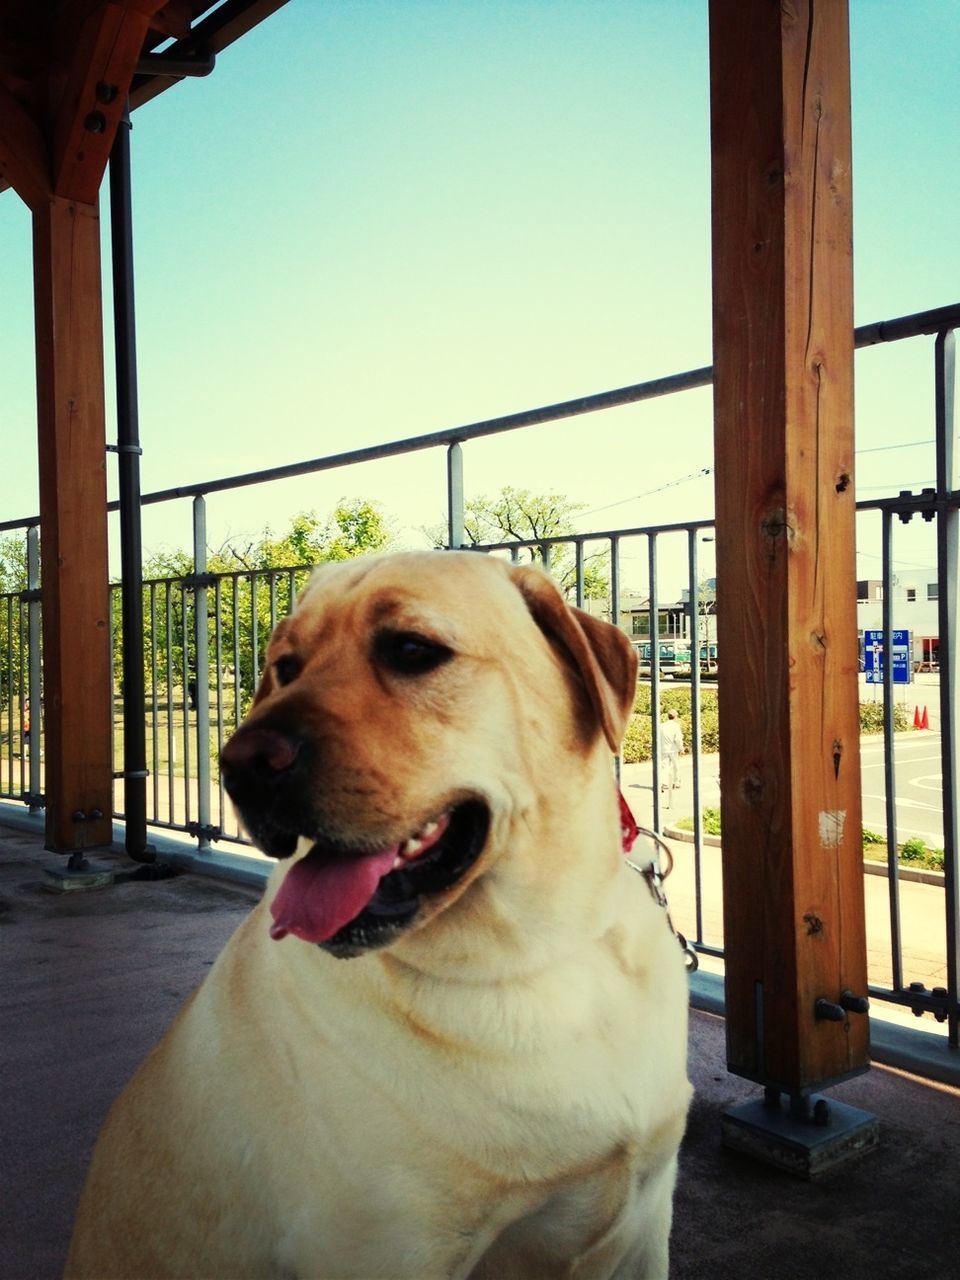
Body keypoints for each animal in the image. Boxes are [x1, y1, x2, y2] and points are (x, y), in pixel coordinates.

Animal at [65, 552, 691, 1280]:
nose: (238, 765)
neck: (533, 959)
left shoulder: (645, 1222)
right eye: (285, 666)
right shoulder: (390, 1247)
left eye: (412, 651)